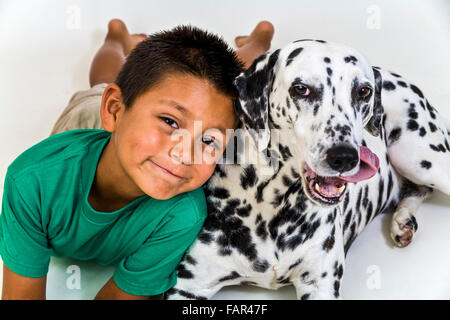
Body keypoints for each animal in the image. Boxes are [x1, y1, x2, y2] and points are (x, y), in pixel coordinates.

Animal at [166, 38, 450, 298]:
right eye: (301, 89)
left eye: (363, 91)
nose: (344, 157)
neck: (271, 207)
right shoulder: (188, 286)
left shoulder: (321, 284)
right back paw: (403, 221)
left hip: (421, 158)